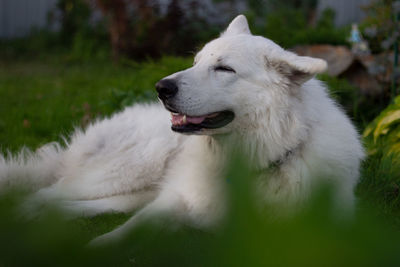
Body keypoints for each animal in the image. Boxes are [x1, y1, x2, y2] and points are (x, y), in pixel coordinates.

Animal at [0, 15, 362, 244]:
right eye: (196, 61)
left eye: (224, 69)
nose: (161, 88)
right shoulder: (172, 200)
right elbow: (126, 231)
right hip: (128, 170)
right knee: (44, 193)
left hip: (128, 189)